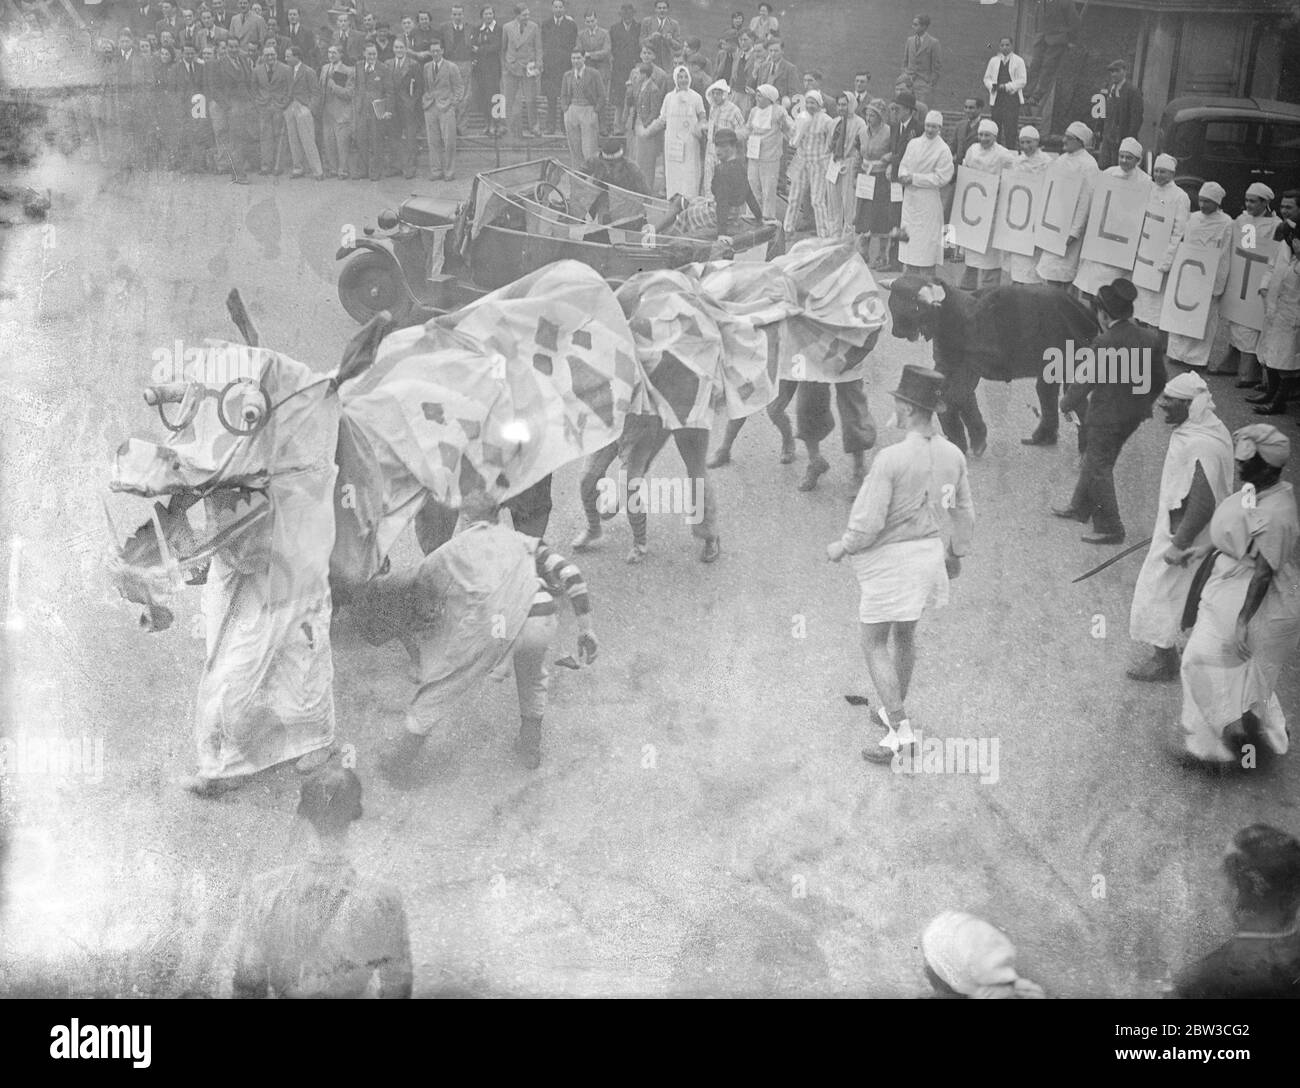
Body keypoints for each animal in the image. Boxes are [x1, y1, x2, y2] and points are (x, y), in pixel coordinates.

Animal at [883, 280, 1097, 454]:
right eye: (893, 304)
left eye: (913, 307)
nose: (895, 332)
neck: (948, 312)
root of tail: (1081, 309)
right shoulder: (948, 364)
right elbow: (960, 399)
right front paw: (976, 437)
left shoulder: (968, 368)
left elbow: (953, 399)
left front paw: (963, 441)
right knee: (1047, 394)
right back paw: (1044, 437)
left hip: (1071, 367)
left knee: (1075, 400)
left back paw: (1085, 447)